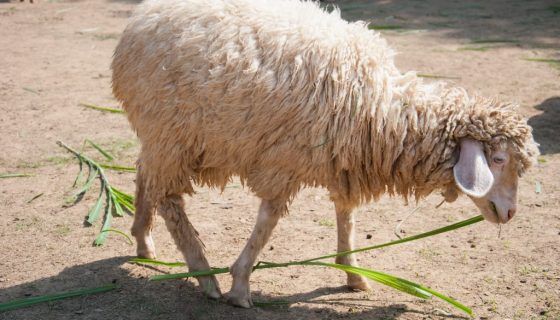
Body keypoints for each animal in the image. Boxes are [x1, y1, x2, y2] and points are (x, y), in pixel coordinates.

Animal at [110, 0, 540, 308]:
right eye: (498, 160)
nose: (510, 213)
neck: (381, 110)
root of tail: (141, 17)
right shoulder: (283, 163)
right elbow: (267, 225)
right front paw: (240, 284)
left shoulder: (345, 159)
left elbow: (346, 217)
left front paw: (352, 273)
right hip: (173, 134)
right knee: (170, 200)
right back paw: (204, 275)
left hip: (162, 137)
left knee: (144, 174)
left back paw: (143, 241)